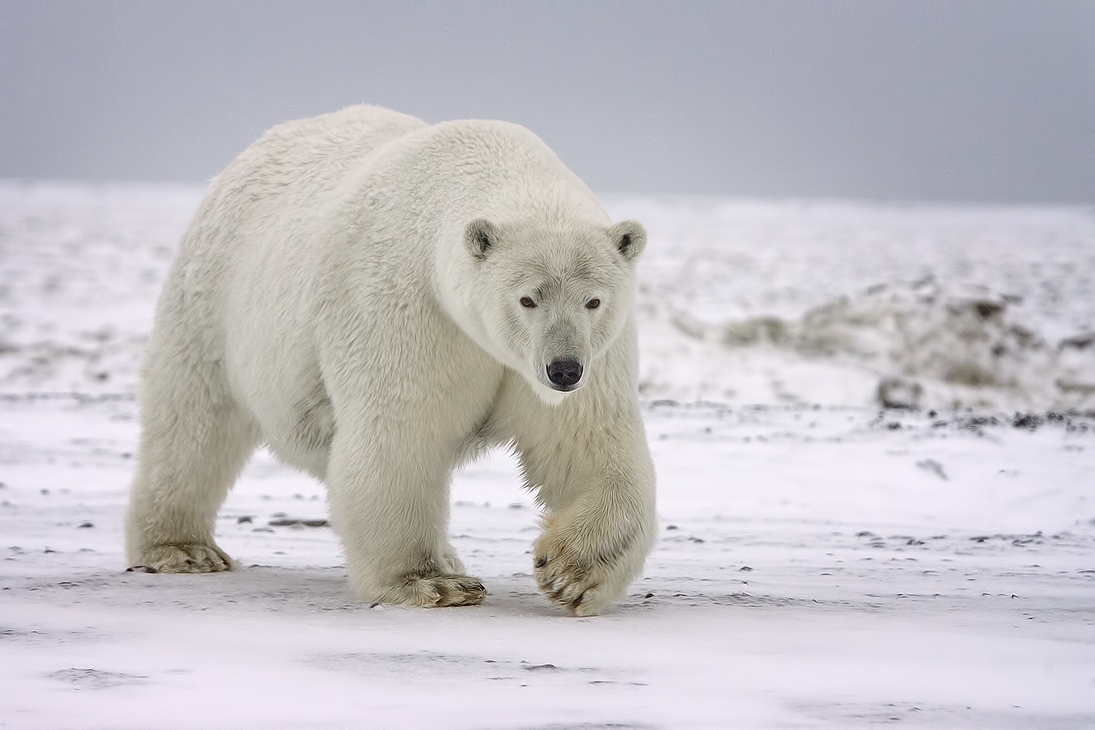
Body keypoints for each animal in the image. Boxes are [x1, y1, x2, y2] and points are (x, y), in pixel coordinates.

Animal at [128, 103, 657, 617]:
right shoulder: (408, 304)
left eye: (593, 300)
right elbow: (400, 433)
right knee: (193, 422)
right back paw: (183, 549)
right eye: (527, 299)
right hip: (213, 297)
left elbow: (586, 440)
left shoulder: (587, 356)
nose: (563, 369)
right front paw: (430, 582)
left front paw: (571, 572)